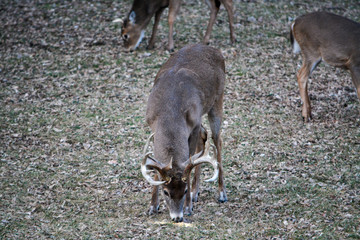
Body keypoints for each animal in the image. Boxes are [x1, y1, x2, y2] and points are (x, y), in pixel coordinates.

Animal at [142, 43, 226, 223]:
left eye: (184, 190)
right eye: (166, 192)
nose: (177, 217)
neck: (169, 112)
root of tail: (215, 49)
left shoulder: (193, 124)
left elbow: (190, 162)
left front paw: (188, 206)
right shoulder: (152, 126)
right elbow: (157, 166)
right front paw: (153, 206)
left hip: (217, 100)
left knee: (217, 140)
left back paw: (221, 193)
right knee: (204, 137)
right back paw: (197, 192)